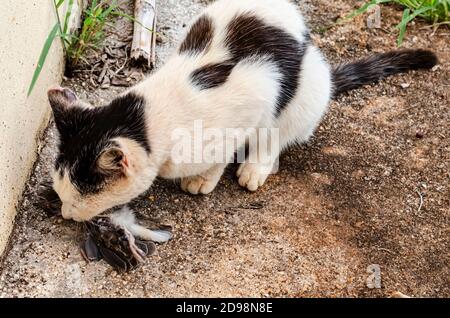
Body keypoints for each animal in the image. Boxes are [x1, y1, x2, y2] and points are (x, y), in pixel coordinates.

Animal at [47, 0, 438, 241]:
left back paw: (256, 167)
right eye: (62, 189)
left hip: (309, 87)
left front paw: (205, 178)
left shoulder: (258, 91)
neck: (148, 113)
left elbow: (232, 144)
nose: (65, 213)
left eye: (82, 195)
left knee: (279, 132)